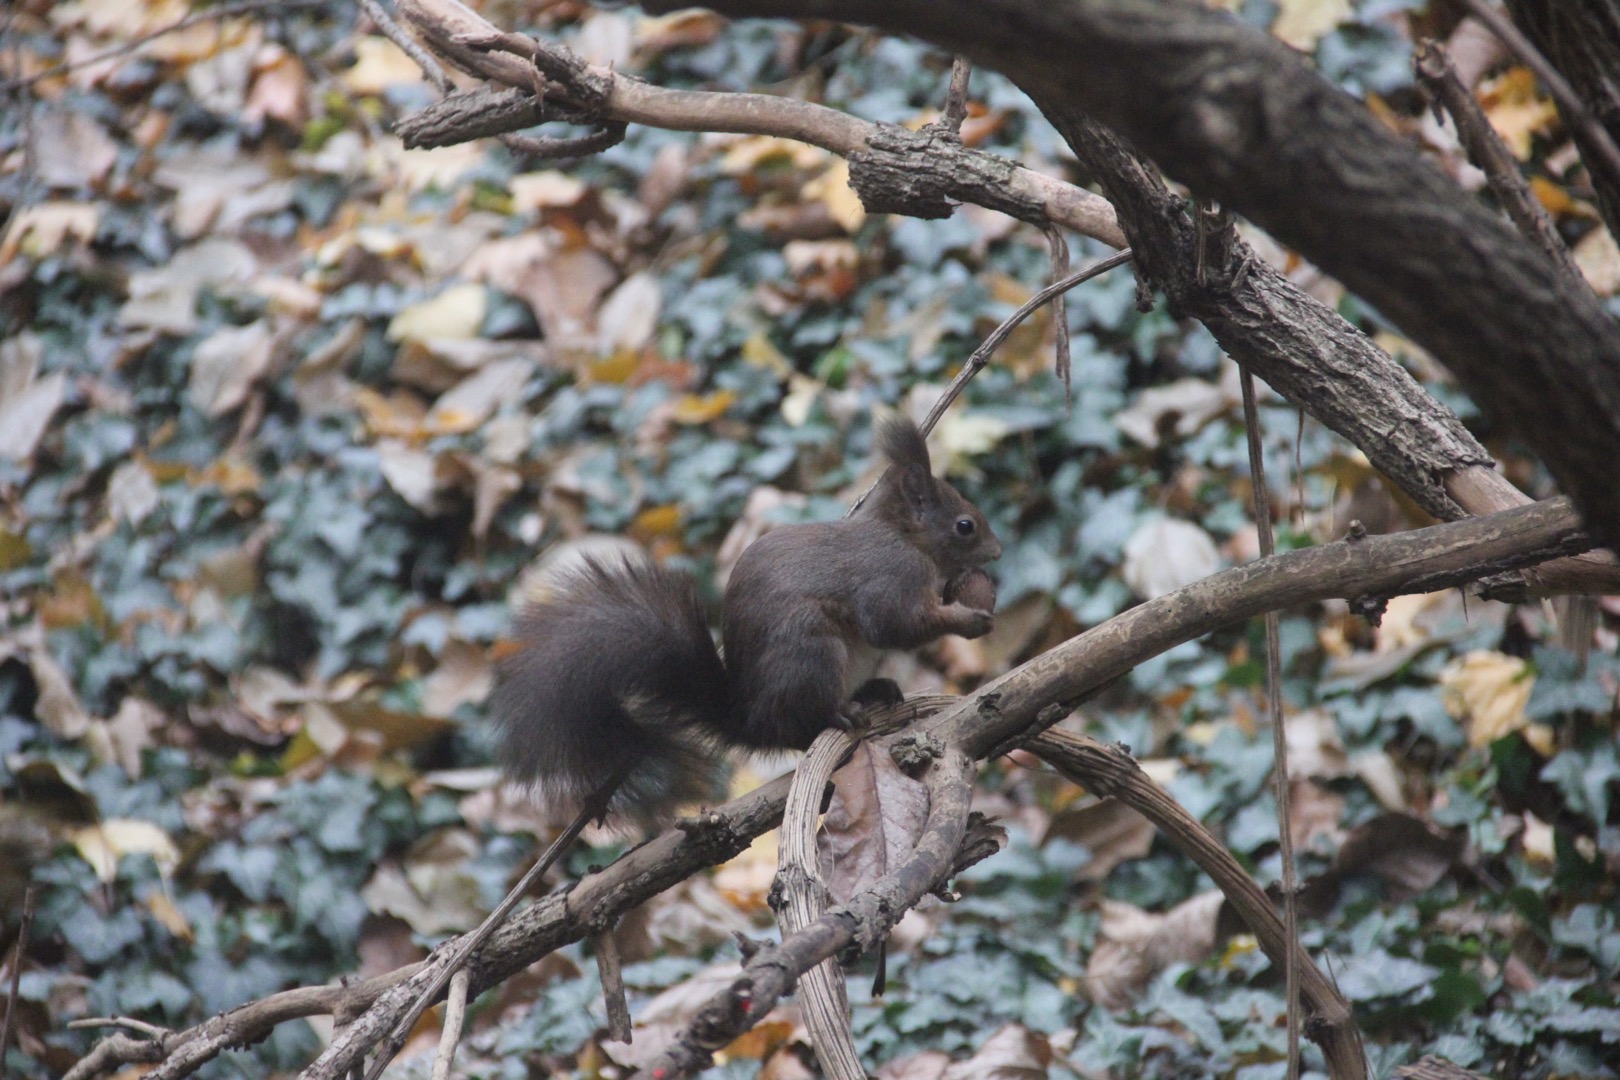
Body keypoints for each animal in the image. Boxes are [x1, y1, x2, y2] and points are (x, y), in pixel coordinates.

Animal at [488, 416, 1003, 826]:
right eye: (965, 525)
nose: (998, 552)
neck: (903, 536)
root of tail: (751, 717)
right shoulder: (889, 576)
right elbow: (894, 624)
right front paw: (966, 618)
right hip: (811, 654)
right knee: (798, 727)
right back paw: (839, 713)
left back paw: (877, 691)